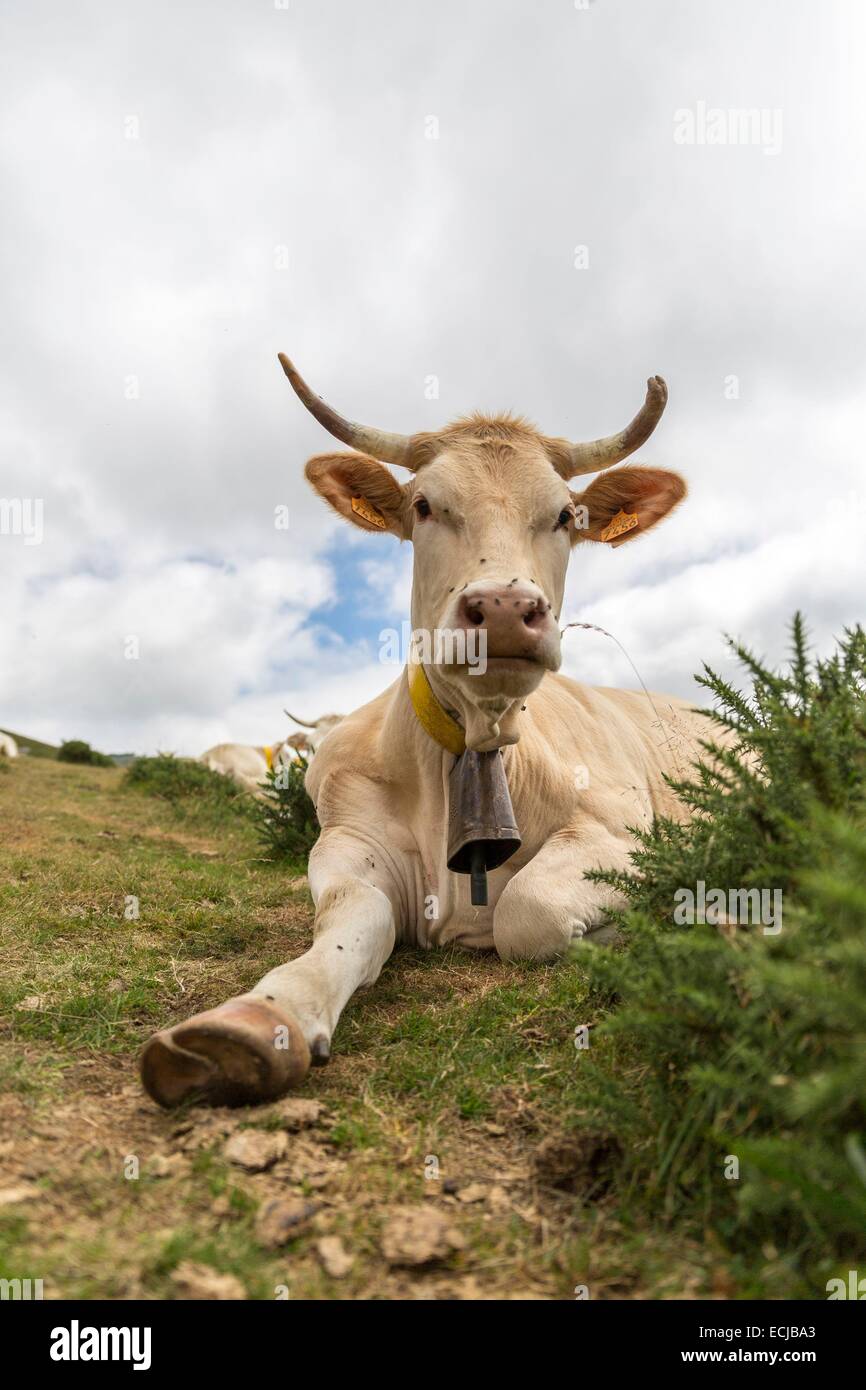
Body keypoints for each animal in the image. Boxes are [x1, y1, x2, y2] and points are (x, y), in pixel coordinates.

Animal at [140, 356, 710, 1109]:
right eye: (424, 506)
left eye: (566, 515)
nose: (505, 608)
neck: (469, 751)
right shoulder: (347, 843)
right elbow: (351, 921)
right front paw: (262, 1017)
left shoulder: (621, 830)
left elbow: (528, 911)